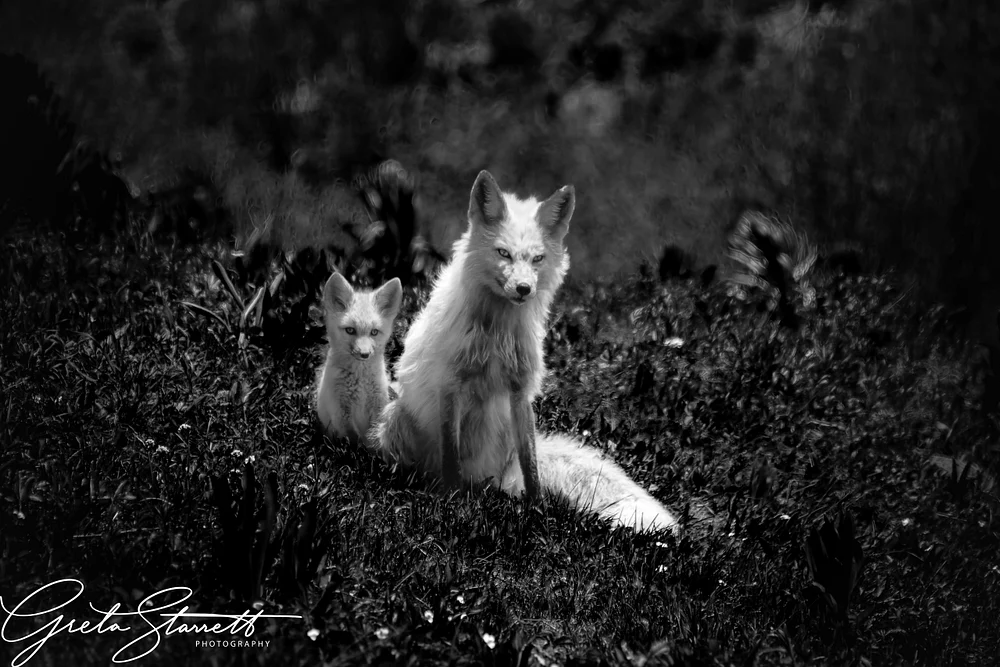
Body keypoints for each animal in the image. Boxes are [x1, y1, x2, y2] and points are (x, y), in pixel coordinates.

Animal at [315, 273, 402, 447]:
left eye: (374, 332)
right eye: (350, 330)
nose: (364, 354)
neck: (360, 381)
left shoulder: (378, 404)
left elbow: (374, 437)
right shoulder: (341, 411)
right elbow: (354, 440)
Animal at [373, 170, 679, 533]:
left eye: (537, 258)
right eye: (503, 253)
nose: (523, 289)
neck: (497, 333)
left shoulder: (521, 390)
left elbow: (531, 464)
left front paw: (537, 511)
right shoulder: (450, 386)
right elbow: (451, 455)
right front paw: (451, 501)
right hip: (395, 420)